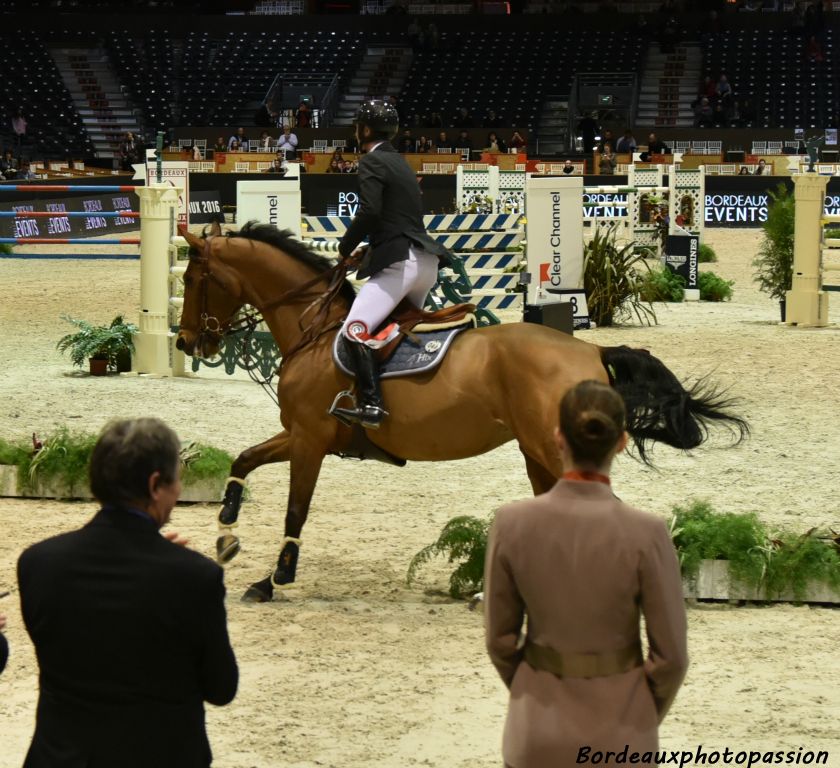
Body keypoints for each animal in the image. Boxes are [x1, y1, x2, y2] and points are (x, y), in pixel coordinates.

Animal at [174, 219, 744, 604]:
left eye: (193, 280)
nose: (187, 342)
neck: (312, 328)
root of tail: (591, 351)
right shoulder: (304, 434)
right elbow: (244, 460)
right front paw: (226, 534)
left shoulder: (311, 439)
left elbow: (296, 509)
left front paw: (272, 580)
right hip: (538, 451)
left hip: (547, 448)